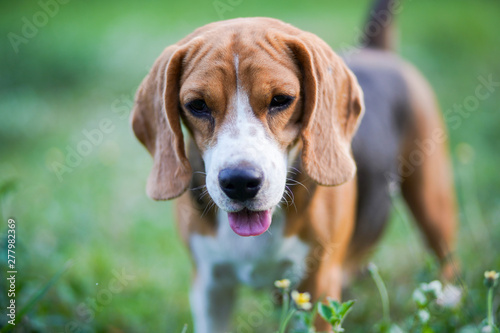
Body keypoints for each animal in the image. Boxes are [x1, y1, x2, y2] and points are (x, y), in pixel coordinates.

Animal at [132, 1, 458, 330]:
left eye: (281, 99)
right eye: (197, 105)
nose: (240, 182)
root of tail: (375, 51)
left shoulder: (317, 284)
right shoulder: (211, 286)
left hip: (431, 197)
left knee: (444, 252)